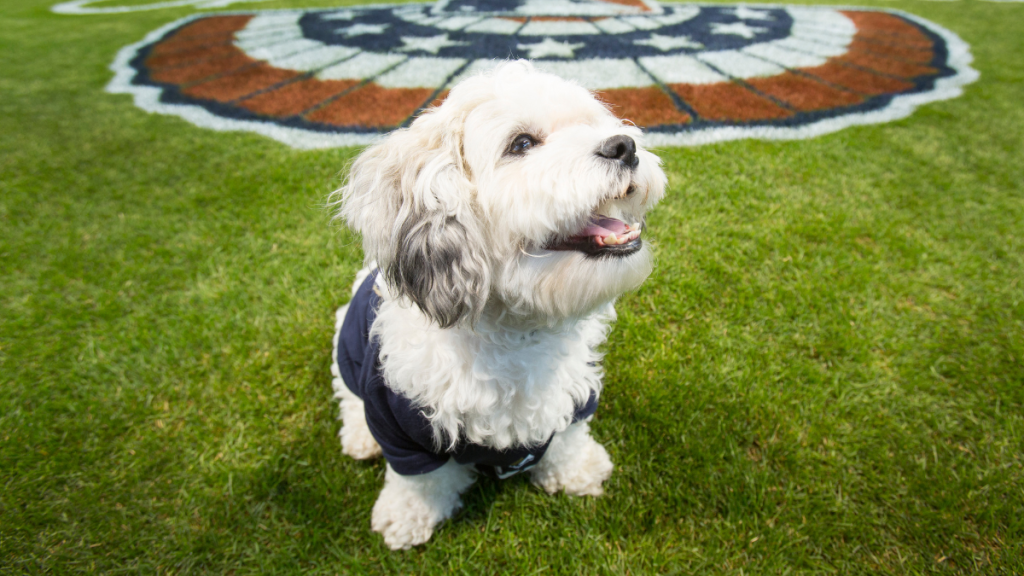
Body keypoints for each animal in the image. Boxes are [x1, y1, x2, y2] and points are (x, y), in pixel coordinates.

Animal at [325, 59, 663, 545]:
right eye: (521, 144)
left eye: (593, 124)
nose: (625, 145)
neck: (516, 330)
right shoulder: (398, 421)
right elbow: (418, 479)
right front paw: (407, 515)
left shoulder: (574, 393)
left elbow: (569, 436)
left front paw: (577, 469)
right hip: (345, 347)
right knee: (348, 398)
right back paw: (359, 438)